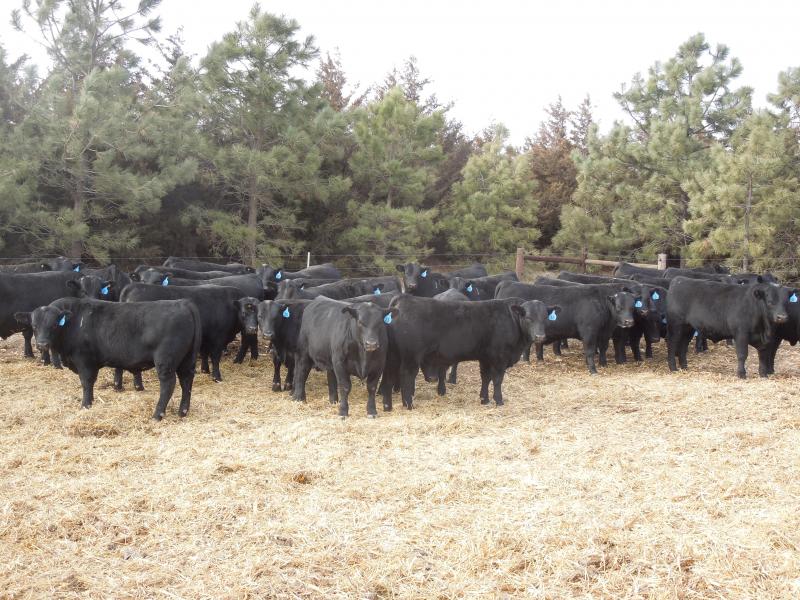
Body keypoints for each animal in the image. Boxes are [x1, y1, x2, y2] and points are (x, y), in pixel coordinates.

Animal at [14, 298, 201, 420]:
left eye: (53, 325)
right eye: (34, 326)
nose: (42, 344)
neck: (73, 323)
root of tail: (183, 303)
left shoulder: (84, 361)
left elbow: (86, 382)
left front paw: (85, 405)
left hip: (165, 361)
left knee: (168, 385)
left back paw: (157, 415)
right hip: (186, 360)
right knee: (186, 381)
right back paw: (183, 411)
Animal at [495, 280, 637, 374]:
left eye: (632, 307)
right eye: (618, 307)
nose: (629, 322)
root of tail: (507, 283)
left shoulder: (605, 333)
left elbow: (603, 348)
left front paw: (603, 364)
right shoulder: (589, 332)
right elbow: (590, 351)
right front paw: (592, 370)